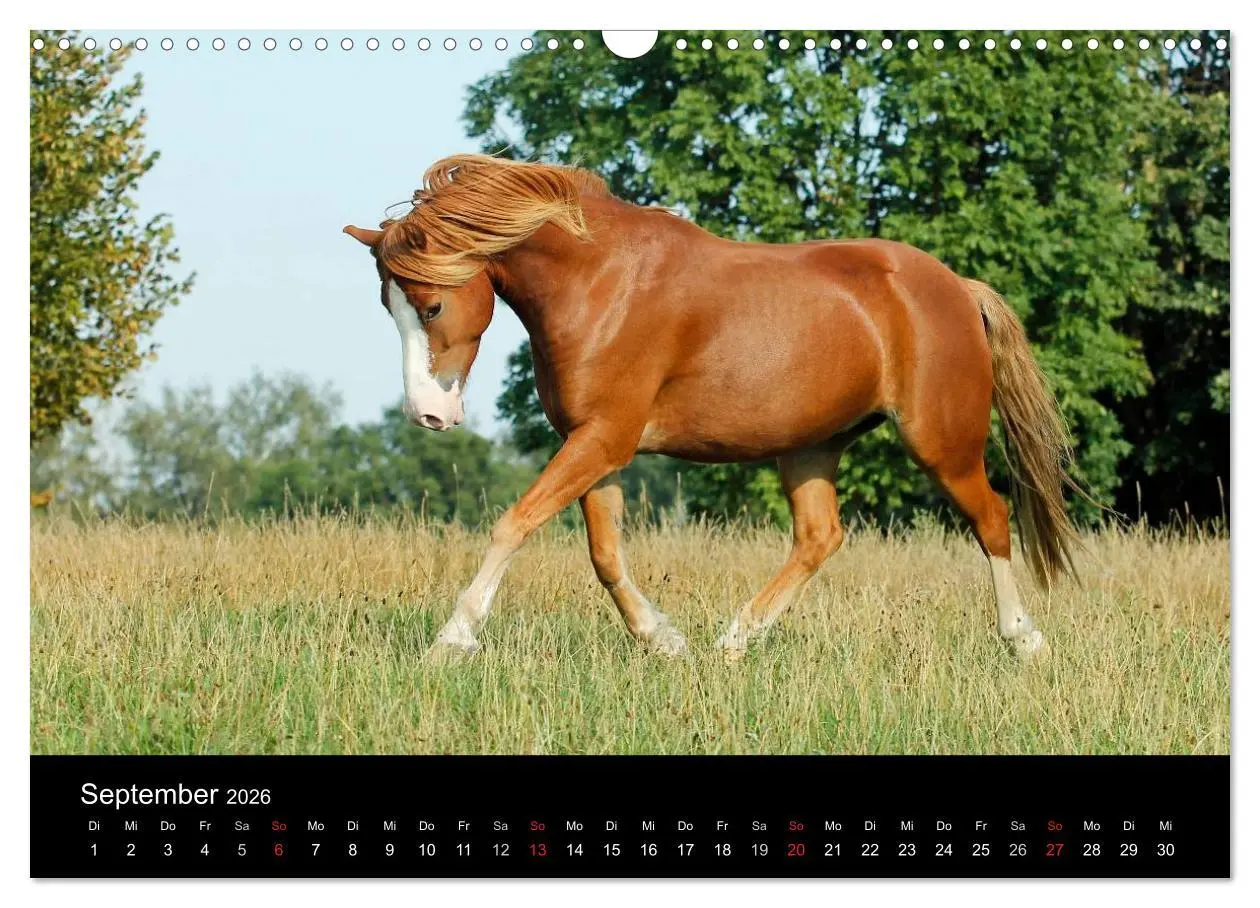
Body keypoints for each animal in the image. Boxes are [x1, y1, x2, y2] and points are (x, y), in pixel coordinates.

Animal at [343, 154, 1079, 661]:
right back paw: (732, 643)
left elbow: (513, 524)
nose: (428, 415)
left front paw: (452, 639)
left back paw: (1024, 640)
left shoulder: (602, 439)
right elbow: (605, 555)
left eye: (432, 306)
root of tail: (956, 286)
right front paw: (663, 640)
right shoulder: (597, 446)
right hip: (811, 446)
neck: (600, 283)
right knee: (819, 537)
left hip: (941, 443)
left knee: (992, 519)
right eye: (386, 305)